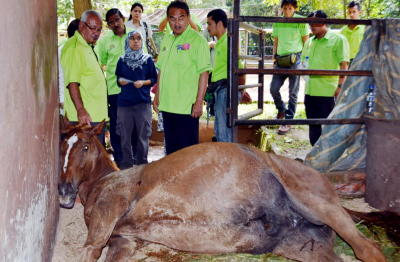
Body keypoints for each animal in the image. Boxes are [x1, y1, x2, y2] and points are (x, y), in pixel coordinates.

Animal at [57, 120, 386, 262]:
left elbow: (89, 250)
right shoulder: (124, 242)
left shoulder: (105, 220)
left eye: (84, 147)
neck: (104, 182)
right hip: (305, 247)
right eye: (62, 146)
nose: (62, 190)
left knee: (367, 249)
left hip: (318, 204)